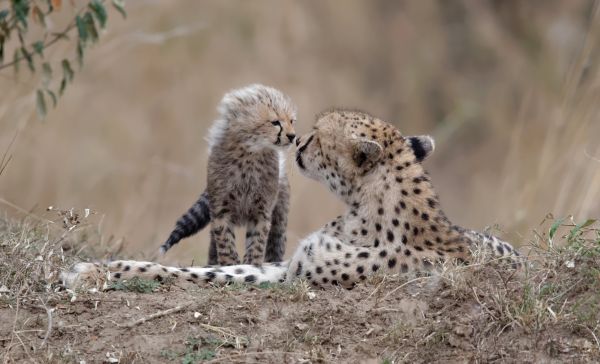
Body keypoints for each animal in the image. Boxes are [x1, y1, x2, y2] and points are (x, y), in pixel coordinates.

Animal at [62, 109, 520, 288]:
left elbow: (202, 276)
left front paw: (92, 272)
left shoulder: (297, 275)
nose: (297, 141)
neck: (364, 208)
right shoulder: (288, 265)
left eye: (317, 136)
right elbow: (219, 269)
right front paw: (97, 267)